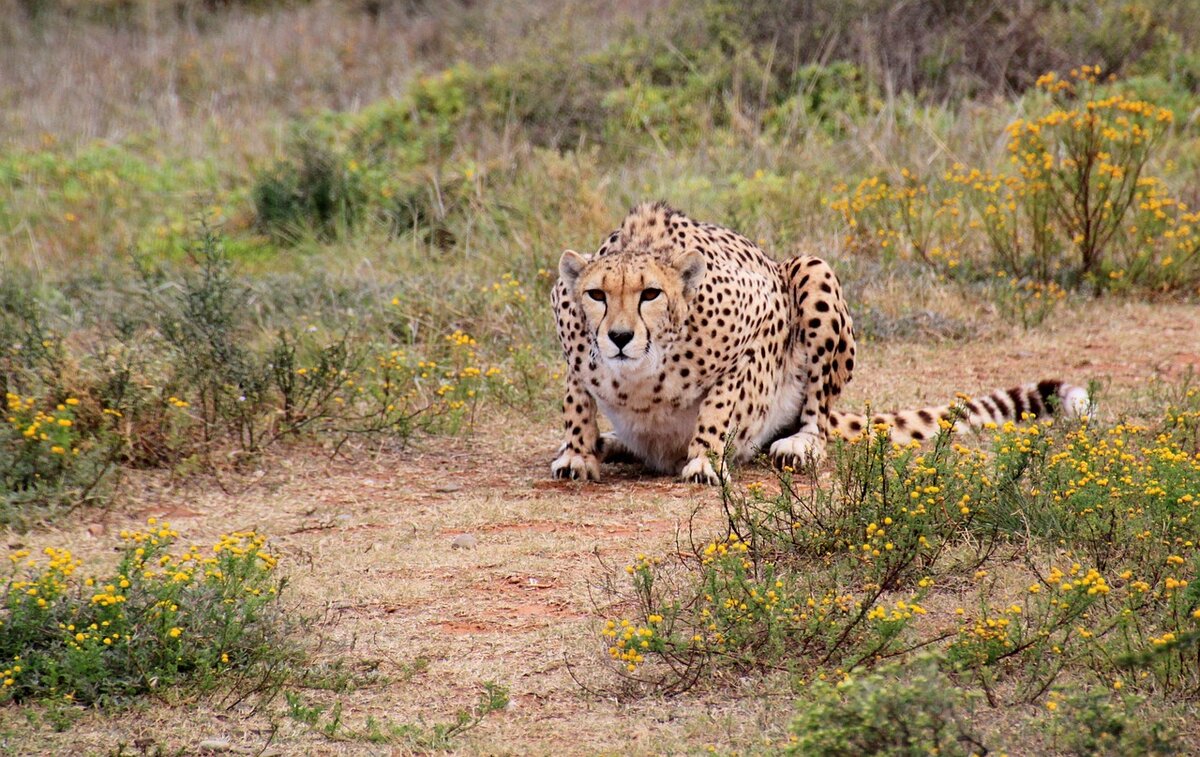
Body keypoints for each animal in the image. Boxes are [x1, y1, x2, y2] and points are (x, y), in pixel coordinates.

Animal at [549, 201, 1094, 484]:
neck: (642, 372)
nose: (619, 337)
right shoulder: (572, 343)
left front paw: (704, 457)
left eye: (651, 294)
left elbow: (722, 402)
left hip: (812, 271)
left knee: (818, 411)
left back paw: (801, 444)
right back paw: (610, 442)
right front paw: (578, 453)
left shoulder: (761, 322)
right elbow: (577, 400)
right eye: (596, 295)